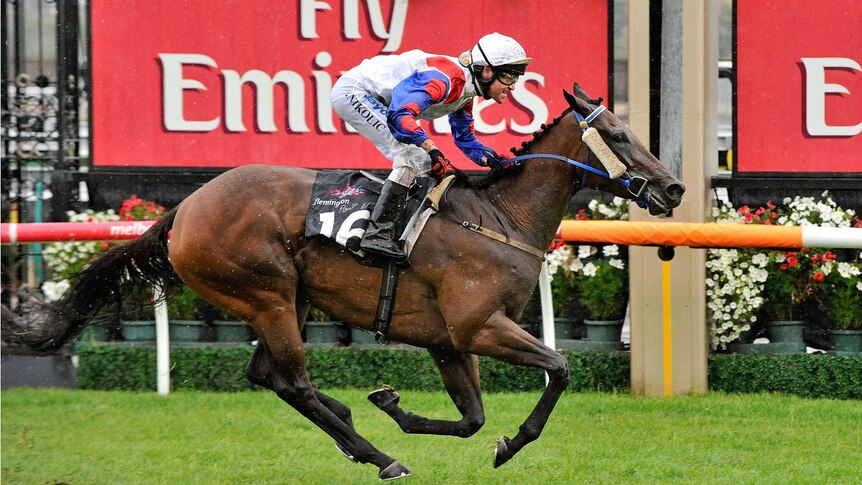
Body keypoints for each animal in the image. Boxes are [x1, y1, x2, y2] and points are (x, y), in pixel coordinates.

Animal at [16, 83, 684, 480]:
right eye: (618, 135)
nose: (674, 188)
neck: (499, 217)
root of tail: (184, 210)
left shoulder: (449, 340)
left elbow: (471, 417)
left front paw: (393, 406)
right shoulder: (479, 326)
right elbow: (560, 368)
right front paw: (512, 442)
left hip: (287, 300)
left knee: (269, 377)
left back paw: (352, 427)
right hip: (266, 293)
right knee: (294, 383)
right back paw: (377, 456)